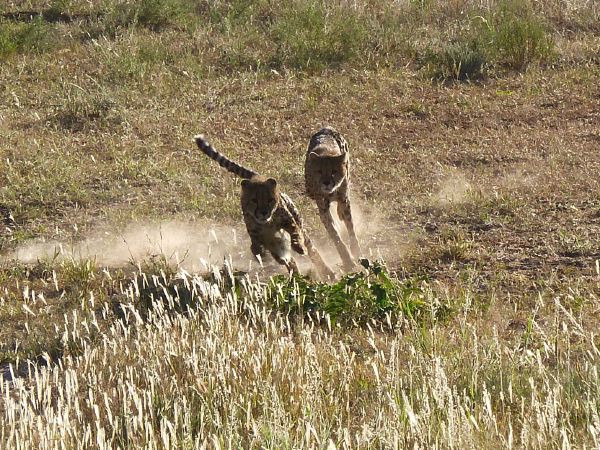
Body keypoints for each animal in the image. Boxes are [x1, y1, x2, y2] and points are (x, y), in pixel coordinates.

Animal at [196, 135, 332, 280]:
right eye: (254, 200)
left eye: (270, 200)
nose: (264, 212)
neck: (268, 223)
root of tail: (257, 177)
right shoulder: (257, 234)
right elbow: (256, 246)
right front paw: (261, 254)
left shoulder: (289, 222)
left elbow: (295, 234)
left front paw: (299, 247)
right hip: (277, 244)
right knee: (288, 260)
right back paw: (294, 273)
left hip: (298, 226)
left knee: (311, 249)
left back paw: (323, 269)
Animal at [304, 125, 360, 268]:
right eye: (319, 171)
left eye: (334, 172)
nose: (326, 182)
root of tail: (326, 128)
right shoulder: (323, 208)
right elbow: (335, 235)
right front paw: (347, 259)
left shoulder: (343, 196)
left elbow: (350, 227)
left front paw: (355, 249)